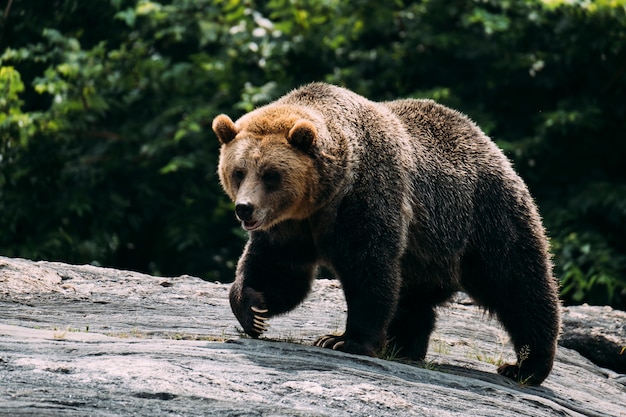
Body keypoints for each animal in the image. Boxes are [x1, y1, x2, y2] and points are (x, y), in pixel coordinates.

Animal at [212, 83, 560, 386]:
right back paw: (404, 347)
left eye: (271, 174)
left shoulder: (365, 197)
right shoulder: (289, 227)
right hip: (427, 253)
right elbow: (277, 269)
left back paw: (526, 366)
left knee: (518, 284)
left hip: (484, 218)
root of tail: (489, 143)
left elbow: (369, 268)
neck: (323, 198)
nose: (245, 209)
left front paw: (343, 339)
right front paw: (253, 309)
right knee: (413, 299)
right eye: (238, 171)